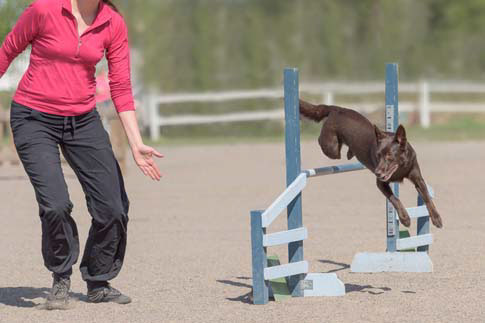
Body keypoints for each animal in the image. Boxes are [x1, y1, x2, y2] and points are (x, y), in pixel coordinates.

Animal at [298, 100, 442, 229]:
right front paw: (405, 218)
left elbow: (427, 197)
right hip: (331, 148)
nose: (377, 172)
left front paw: (436, 218)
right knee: (322, 142)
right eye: (378, 155)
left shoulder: (417, 178)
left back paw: (350, 153)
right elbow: (395, 199)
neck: (400, 168)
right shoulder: (381, 183)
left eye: (389, 156)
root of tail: (336, 108)